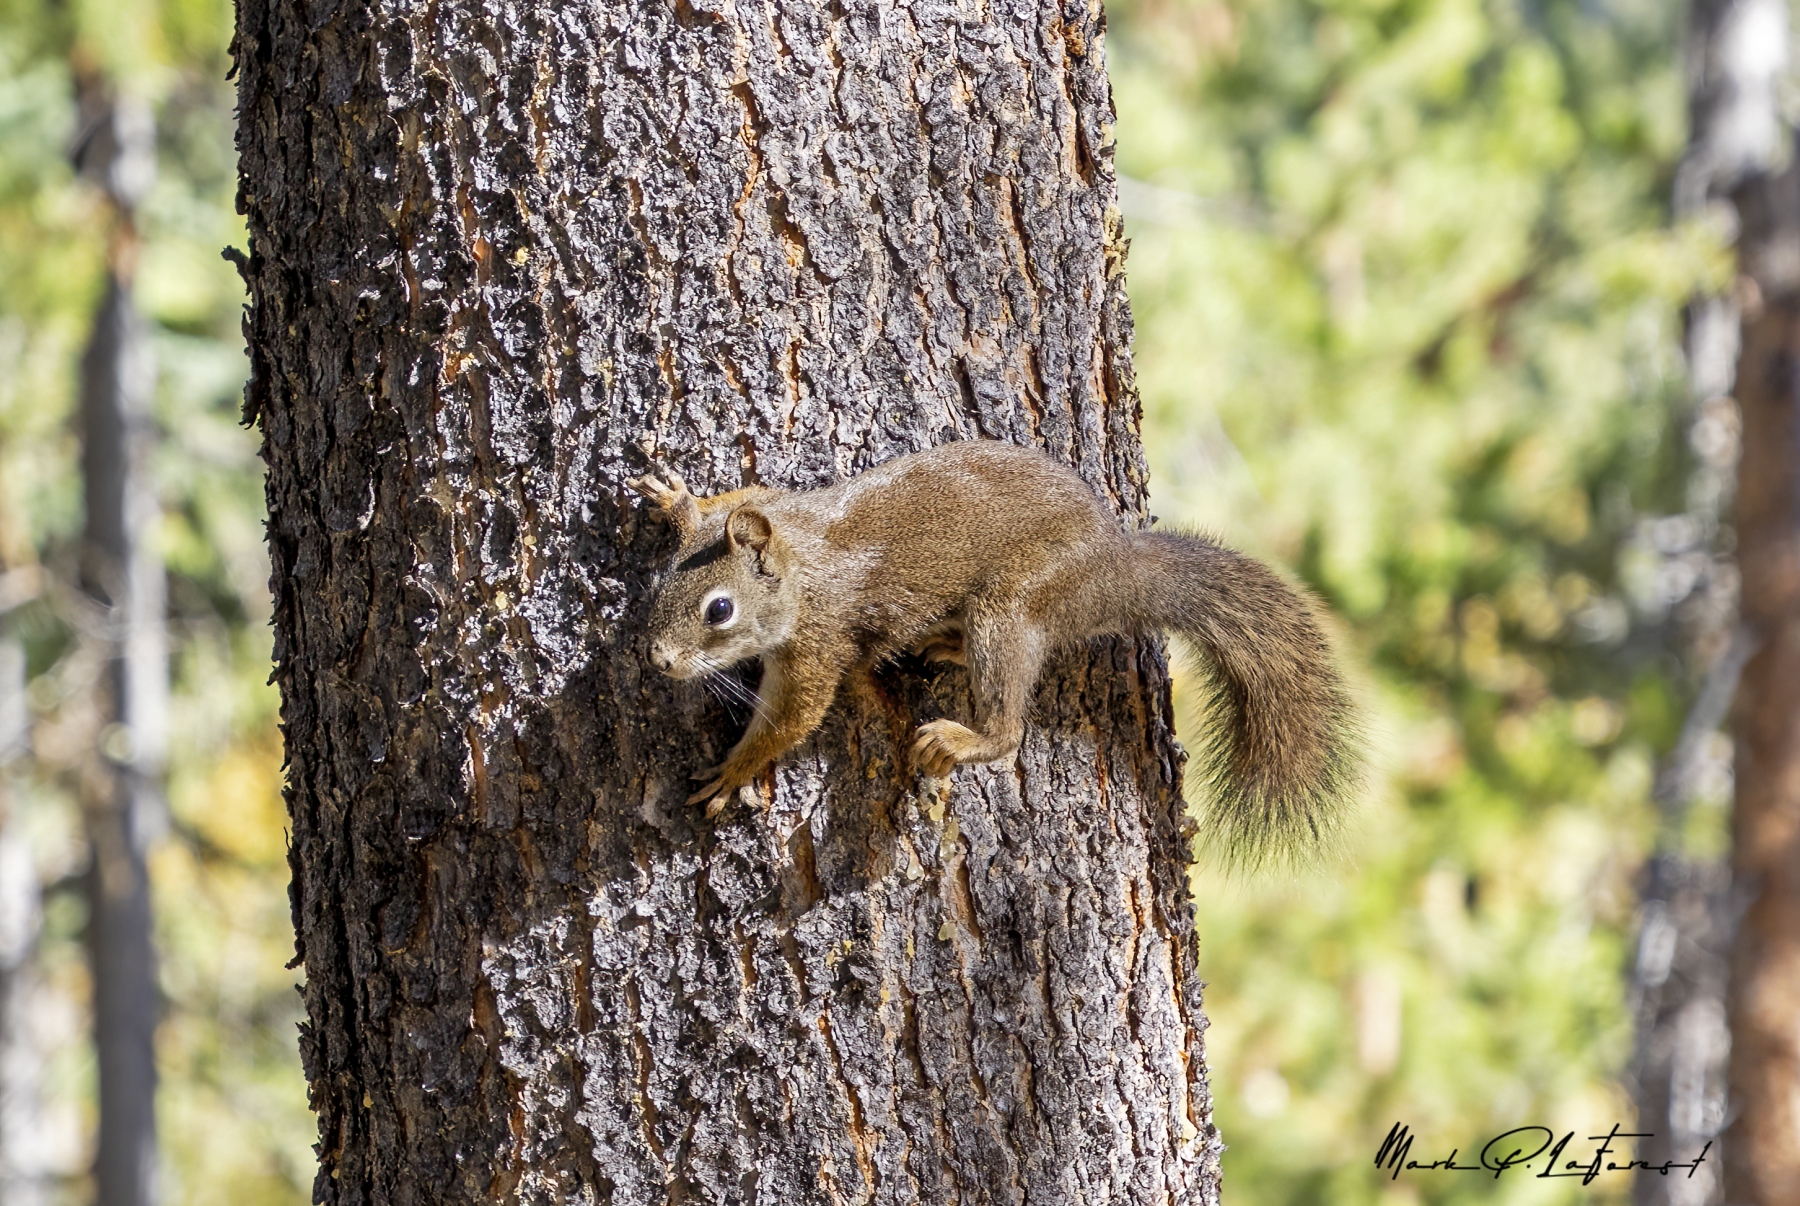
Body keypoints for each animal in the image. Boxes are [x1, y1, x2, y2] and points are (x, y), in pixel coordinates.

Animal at [628, 440, 1357, 863]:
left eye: (719, 611)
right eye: (657, 583)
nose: (658, 660)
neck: (801, 559)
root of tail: (1112, 569)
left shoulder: (818, 643)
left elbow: (792, 718)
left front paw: (735, 771)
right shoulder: (771, 504)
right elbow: (739, 494)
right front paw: (677, 499)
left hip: (1011, 606)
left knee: (1009, 730)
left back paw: (963, 737)